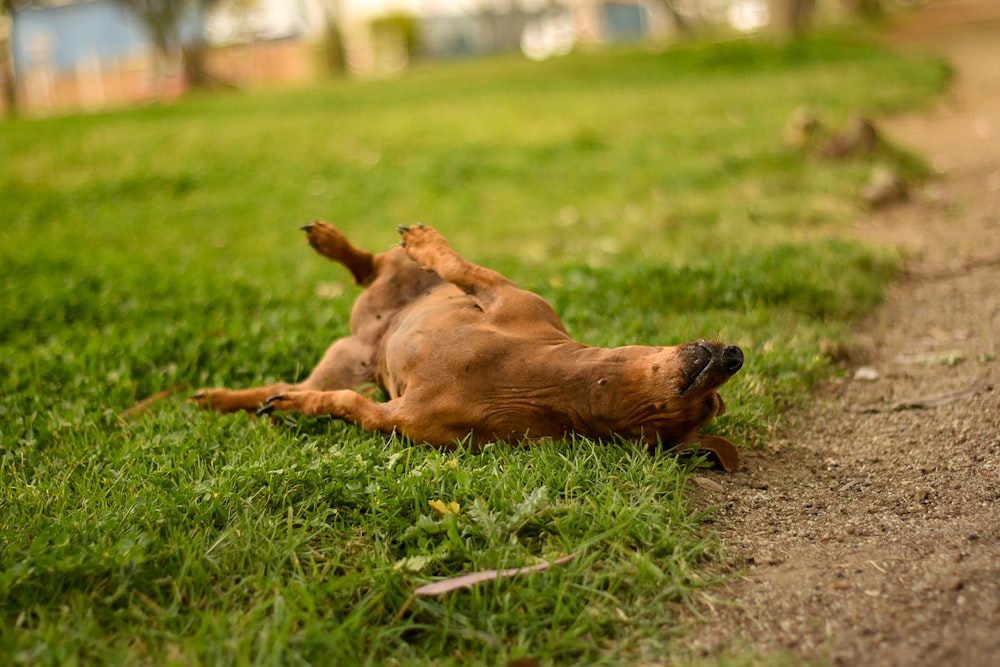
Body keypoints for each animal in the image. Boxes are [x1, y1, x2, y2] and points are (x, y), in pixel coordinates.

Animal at [191, 224, 748, 470]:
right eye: (715, 402)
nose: (737, 355)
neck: (565, 386)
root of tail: (367, 335)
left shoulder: (394, 417)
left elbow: (344, 405)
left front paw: (300, 406)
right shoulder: (503, 294)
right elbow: (460, 265)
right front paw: (429, 240)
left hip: (347, 363)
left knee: (291, 381)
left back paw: (234, 399)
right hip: (395, 279)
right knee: (369, 263)